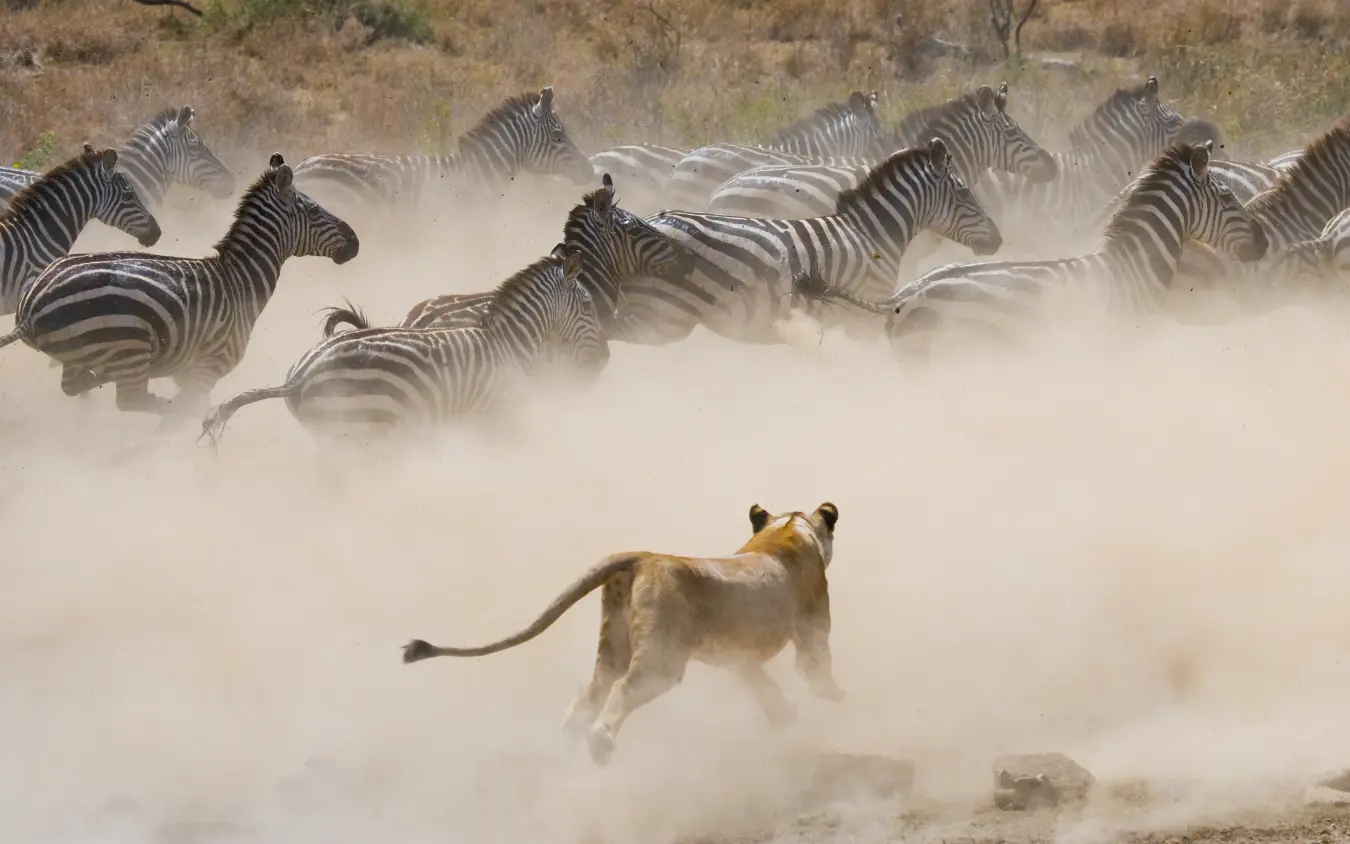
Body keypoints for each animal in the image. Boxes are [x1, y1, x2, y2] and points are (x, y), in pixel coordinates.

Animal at [197, 246, 608, 446]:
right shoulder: (496, 418)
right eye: (589, 307)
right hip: (366, 430)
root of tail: (300, 376)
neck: (510, 342)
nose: (604, 358)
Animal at [402, 501, 844, 766]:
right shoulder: (812, 629)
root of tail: (643, 556)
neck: (788, 528)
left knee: (587, 697)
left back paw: (562, 750)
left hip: (612, 646)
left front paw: (784, 715)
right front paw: (832, 697)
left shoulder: (737, 655)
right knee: (622, 689)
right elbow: (816, 669)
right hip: (662, 658)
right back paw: (600, 746)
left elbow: (759, 683)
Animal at [610, 136, 1003, 347]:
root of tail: (651, 220)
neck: (871, 234)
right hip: (663, 315)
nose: (998, 241)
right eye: (965, 194)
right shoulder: (861, 313)